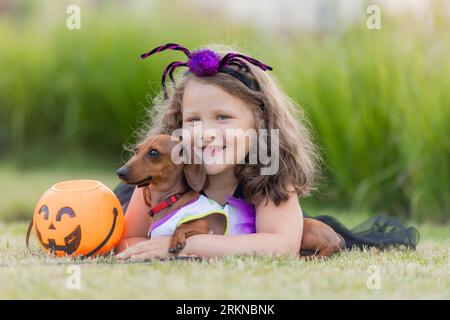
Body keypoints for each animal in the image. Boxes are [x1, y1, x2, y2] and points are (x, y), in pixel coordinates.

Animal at [116, 134, 344, 258]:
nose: (120, 172)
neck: (171, 200)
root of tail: (338, 238)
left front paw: (176, 241)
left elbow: (183, 225)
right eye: (136, 150)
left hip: (307, 228)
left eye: (153, 152)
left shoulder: (204, 226)